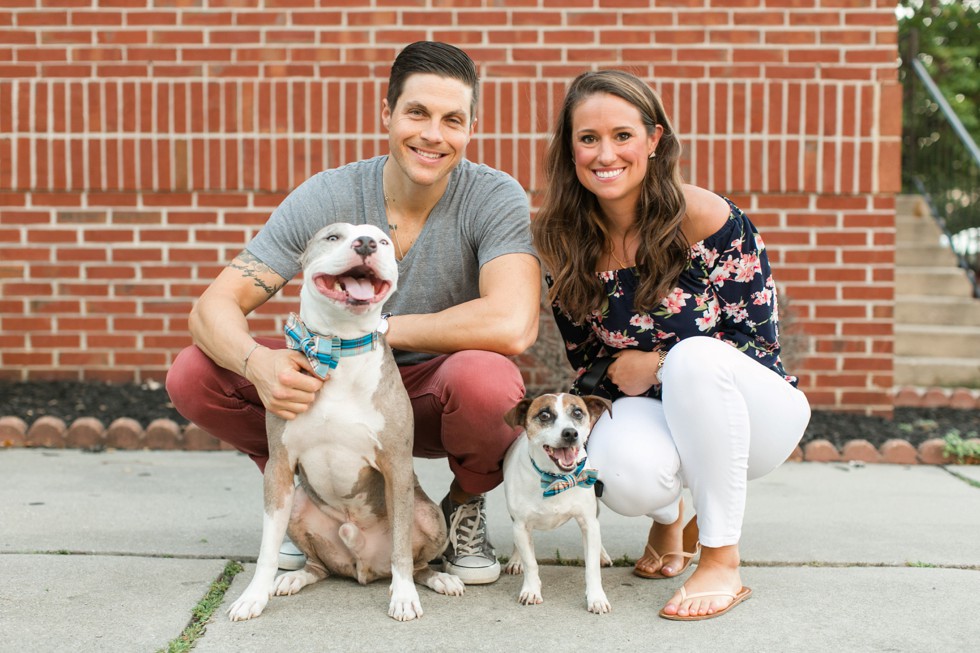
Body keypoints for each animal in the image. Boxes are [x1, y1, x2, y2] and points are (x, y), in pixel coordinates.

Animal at [228, 223, 466, 620]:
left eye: (382, 241)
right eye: (333, 237)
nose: (366, 244)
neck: (338, 347)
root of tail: (364, 567)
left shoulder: (397, 466)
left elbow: (402, 548)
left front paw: (404, 597)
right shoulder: (279, 466)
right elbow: (267, 549)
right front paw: (253, 596)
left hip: (429, 513)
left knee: (417, 563)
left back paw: (438, 579)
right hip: (297, 503)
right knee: (319, 565)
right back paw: (294, 578)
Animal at [506, 392, 612, 612]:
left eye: (578, 412)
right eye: (544, 415)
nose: (570, 433)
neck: (557, 479)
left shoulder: (588, 522)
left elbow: (591, 567)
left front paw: (596, 597)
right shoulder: (520, 525)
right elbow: (531, 564)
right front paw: (531, 590)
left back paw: (602, 554)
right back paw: (515, 560)